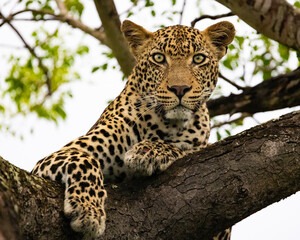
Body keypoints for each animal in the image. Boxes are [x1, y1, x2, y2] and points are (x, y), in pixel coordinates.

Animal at [31, 19, 236, 239]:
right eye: (158, 58)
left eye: (198, 59)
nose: (179, 89)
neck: (164, 125)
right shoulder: (57, 157)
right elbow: (84, 160)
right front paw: (88, 210)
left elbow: (190, 148)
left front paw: (149, 151)